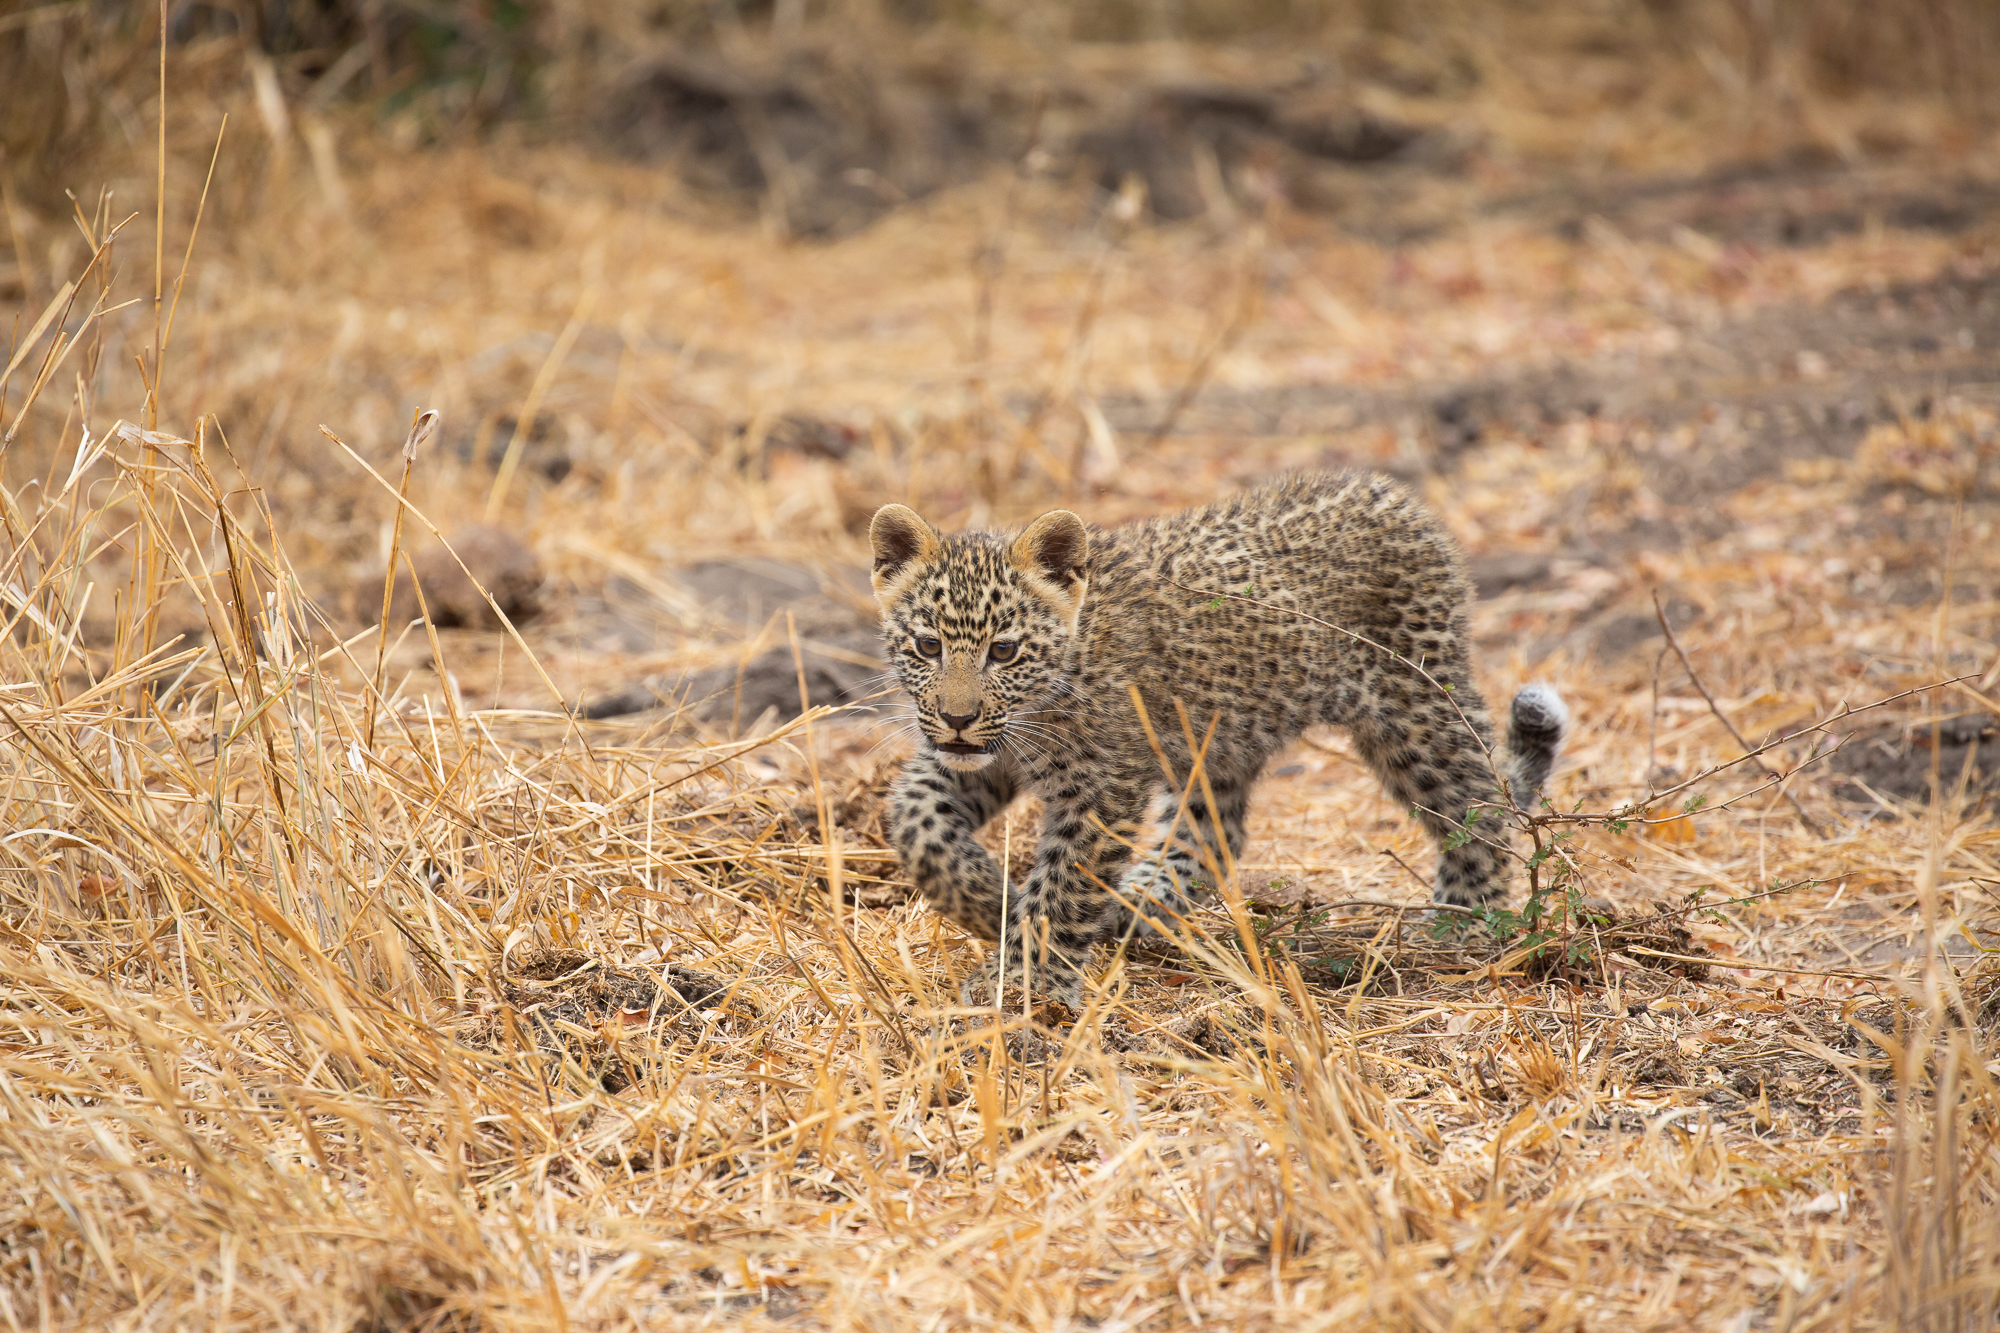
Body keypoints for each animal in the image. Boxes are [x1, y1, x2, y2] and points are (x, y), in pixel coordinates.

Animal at [868, 471, 1568, 1012]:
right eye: (927, 646)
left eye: (1004, 652)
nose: (958, 717)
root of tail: (1401, 501)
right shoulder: (983, 757)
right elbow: (912, 816)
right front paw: (988, 901)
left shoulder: (1099, 786)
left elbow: (1063, 887)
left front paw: (1024, 978)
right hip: (1217, 741)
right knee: (1215, 832)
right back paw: (1139, 903)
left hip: (1415, 708)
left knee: (1478, 799)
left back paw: (1465, 924)